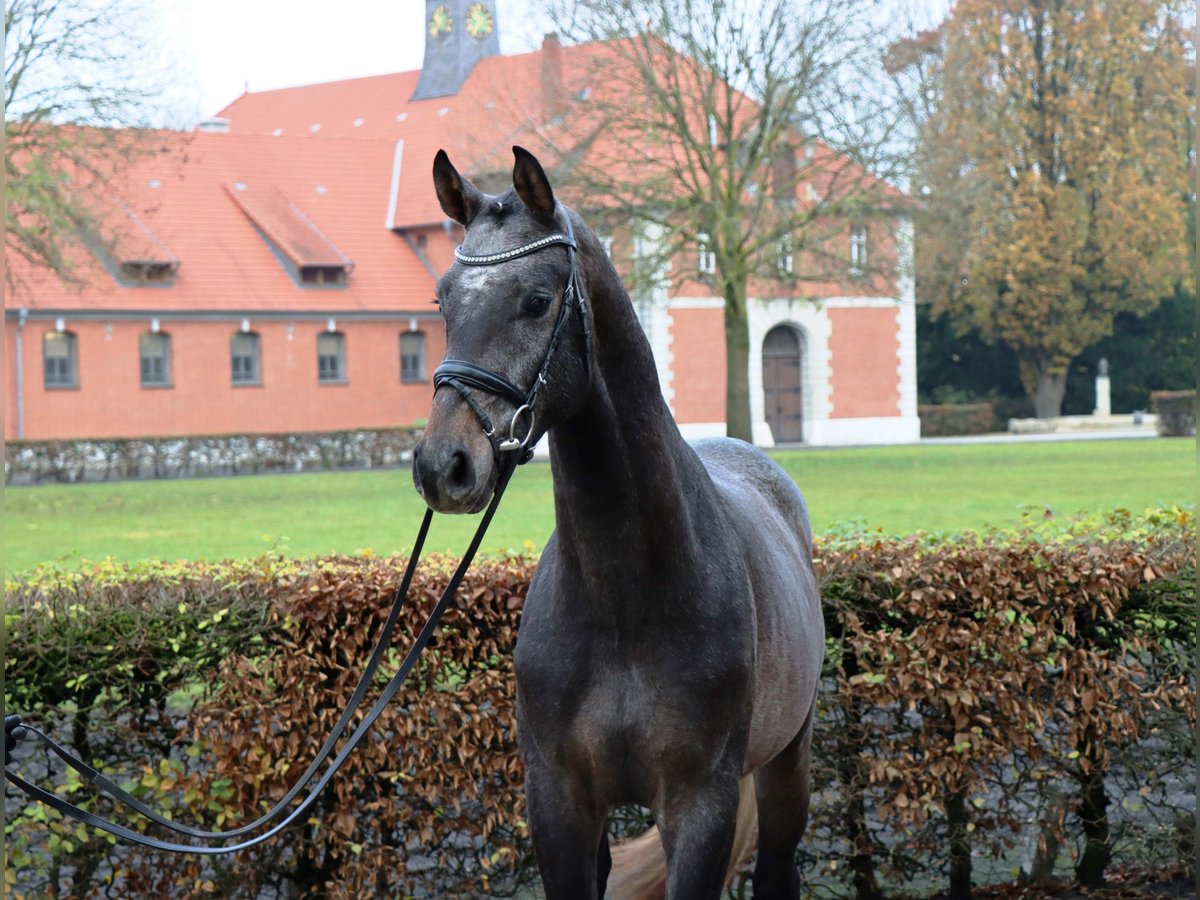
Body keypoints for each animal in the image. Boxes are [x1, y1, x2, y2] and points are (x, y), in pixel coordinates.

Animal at [412, 144, 825, 897]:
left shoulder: (700, 803)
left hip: (787, 766)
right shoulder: (560, 800)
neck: (626, 595)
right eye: (443, 300)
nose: (443, 465)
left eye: (537, 300)